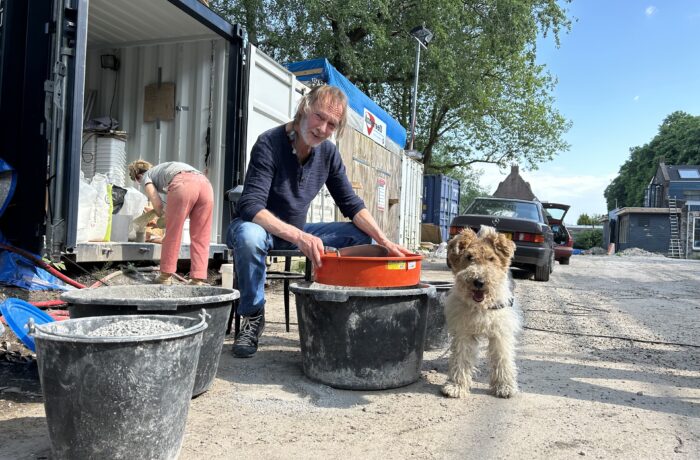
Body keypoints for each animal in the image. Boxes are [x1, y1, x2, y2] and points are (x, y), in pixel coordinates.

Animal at [441, 225, 521, 399]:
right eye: (469, 257)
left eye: (491, 258)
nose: (479, 281)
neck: (482, 307)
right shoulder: (463, 332)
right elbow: (461, 358)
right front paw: (456, 386)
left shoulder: (500, 333)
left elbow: (503, 359)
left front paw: (504, 386)